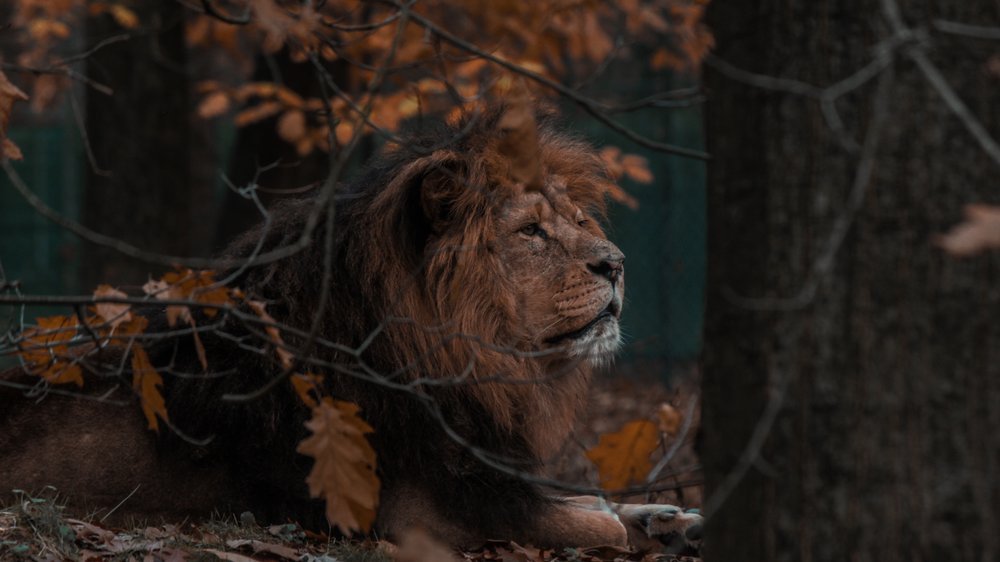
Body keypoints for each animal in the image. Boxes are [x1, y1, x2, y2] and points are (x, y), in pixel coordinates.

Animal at [0, 105, 700, 552]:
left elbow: (591, 502)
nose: (617, 264)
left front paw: (671, 517)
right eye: (530, 231)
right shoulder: (425, 513)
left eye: (579, 221)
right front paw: (635, 523)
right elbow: (594, 520)